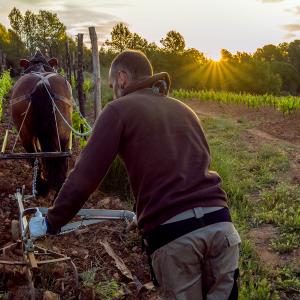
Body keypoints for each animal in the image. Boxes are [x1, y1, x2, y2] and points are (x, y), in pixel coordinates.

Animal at [10, 51, 73, 197]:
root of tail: (42, 85)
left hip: (25, 135)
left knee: (35, 156)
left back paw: (40, 186)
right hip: (63, 134)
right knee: (60, 159)